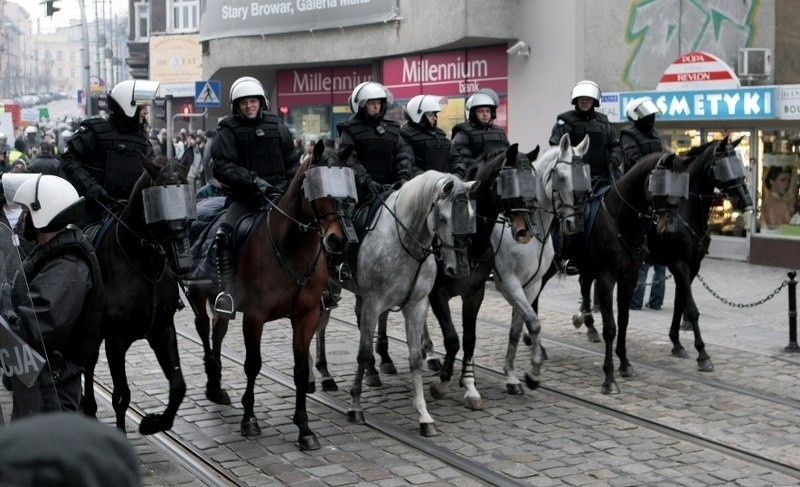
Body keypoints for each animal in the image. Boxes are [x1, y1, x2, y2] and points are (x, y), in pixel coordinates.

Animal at [82, 156, 193, 434]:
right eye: (160, 198)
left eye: (187, 192)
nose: (183, 262)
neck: (144, 263)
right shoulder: (116, 340)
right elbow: (121, 396)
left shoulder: (163, 331)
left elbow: (178, 385)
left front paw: (154, 422)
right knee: (88, 362)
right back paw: (87, 406)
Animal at [187, 140, 354, 450]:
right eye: (317, 185)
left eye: (348, 184)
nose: (339, 240)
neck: (292, 248)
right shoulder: (254, 316)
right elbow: (253, 364)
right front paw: (249, 419)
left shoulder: (306, 316)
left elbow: (300, 370)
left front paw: (304, 428)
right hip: (196, 291)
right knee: (203, 329)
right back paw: (213, 383)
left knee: (217, 330)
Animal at [490, 132, 592, 392]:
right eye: (562, 177)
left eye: (585, 176)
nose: (574, 224)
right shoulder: (509, 283)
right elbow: (533, 323)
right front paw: (533, 372)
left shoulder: (531, 284)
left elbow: (518, 327)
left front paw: (513, 374)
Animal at [572, 151, 692, 394]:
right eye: (662, 186)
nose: (670, 230)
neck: (622, 218)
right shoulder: (606, 277)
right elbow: (610, 327)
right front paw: (609, 378)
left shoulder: (630, 277)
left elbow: (624, 320)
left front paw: (625, 364)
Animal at [648, 135, 752, 372]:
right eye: (723, 165)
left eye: (738, 162)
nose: (746, 200)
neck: (685, 211)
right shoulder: (679, 264)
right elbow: (692, 309)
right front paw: (703, 354)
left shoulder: (693, 266)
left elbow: (680, 302)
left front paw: (676, 343)